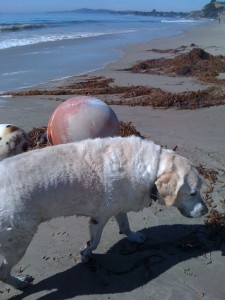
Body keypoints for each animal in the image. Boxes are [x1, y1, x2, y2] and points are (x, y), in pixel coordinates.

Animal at [0, 136, 207, 288]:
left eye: (200, 189)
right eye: (193, 193)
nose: (206, 211)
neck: (152, 169)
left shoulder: (118, 206)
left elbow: (126, 225)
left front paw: (135, 237)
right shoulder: (100, 216)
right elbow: (95, 242)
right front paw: (85, 253)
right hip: (17, 242)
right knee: (3, 271)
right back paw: (20, 283)